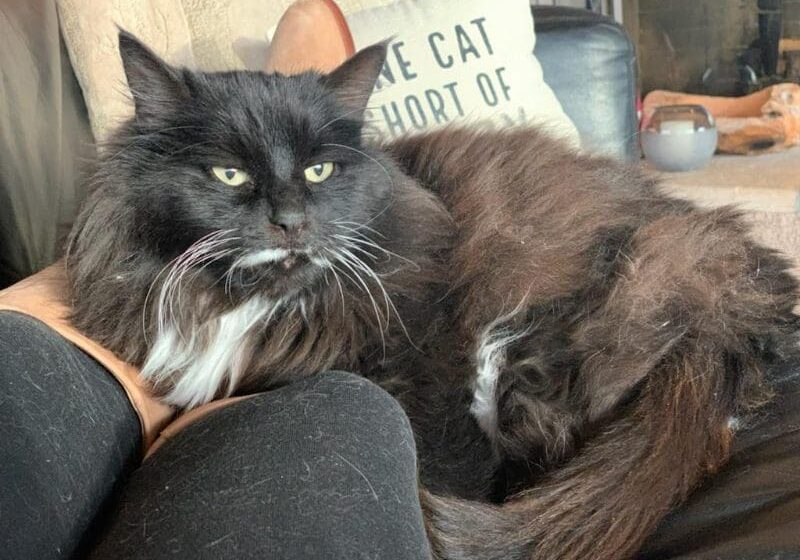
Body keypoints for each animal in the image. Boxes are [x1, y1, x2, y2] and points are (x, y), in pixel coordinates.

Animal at [67, 32, 800, 556]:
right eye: (229, 174)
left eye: (319, 169)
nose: (291, 220)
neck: (262, 305)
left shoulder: (430, 376)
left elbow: (452, 466)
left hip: (588, 312)